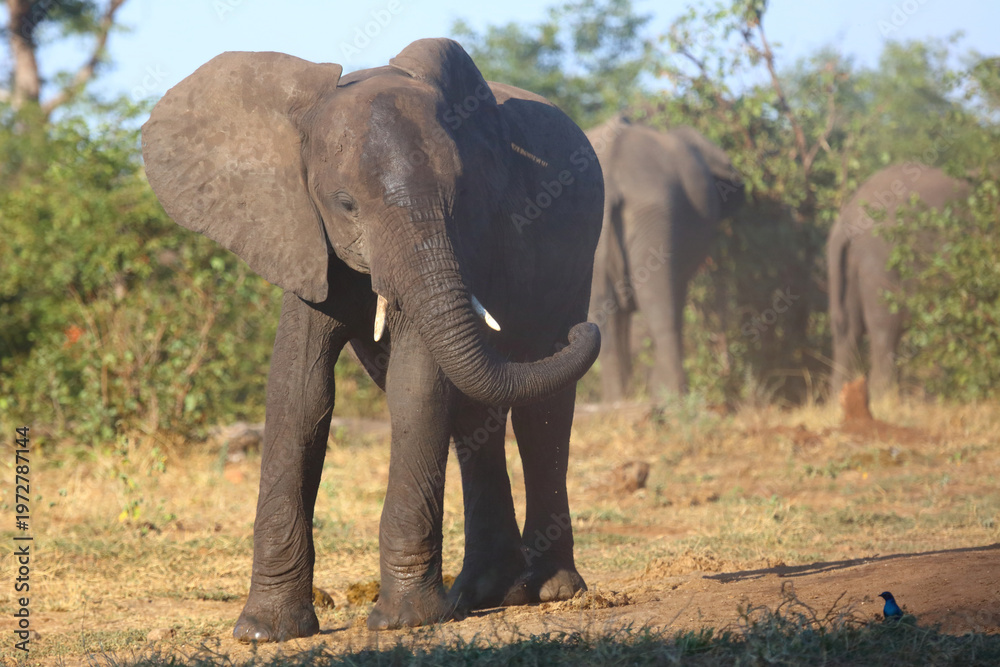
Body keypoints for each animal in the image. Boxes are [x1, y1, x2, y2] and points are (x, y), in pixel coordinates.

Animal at [141, 38, 604, 641]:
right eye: (346, 204)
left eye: (461, 196)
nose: (584, 330)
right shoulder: (302, 234)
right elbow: (298, 390)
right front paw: (265, 630)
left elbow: (416, 385)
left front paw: (401, 622)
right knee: (477, 412)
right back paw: (484, 594)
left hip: (578, 241)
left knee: (541, 404)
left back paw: (551, 591)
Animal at [827, 162, 970, 398]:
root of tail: (848, 220)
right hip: (881, 263)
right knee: (885, 330)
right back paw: (884, 398)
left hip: (845, 267)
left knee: (848, 331)